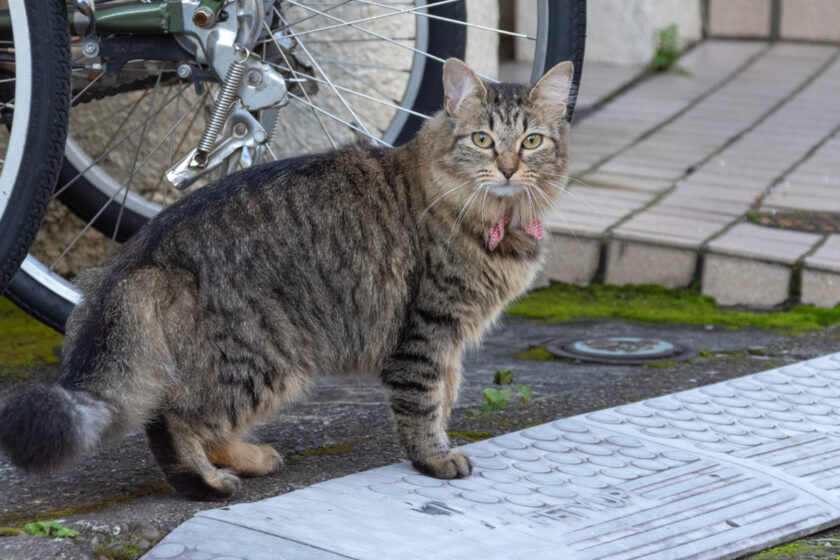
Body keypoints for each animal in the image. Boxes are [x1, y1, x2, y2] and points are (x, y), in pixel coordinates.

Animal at [0, 59, 576, 500]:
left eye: (531, 141)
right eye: (482, 139)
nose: (507, 168)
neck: (498, 219)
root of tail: (142, 252)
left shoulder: (450, 340)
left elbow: (448, 393)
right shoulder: (426, 332)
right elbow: (423, 403)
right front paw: (434, 460)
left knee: (210, 424)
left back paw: (252, 458)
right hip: (263, 356)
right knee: (174, 420)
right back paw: (207, 484)